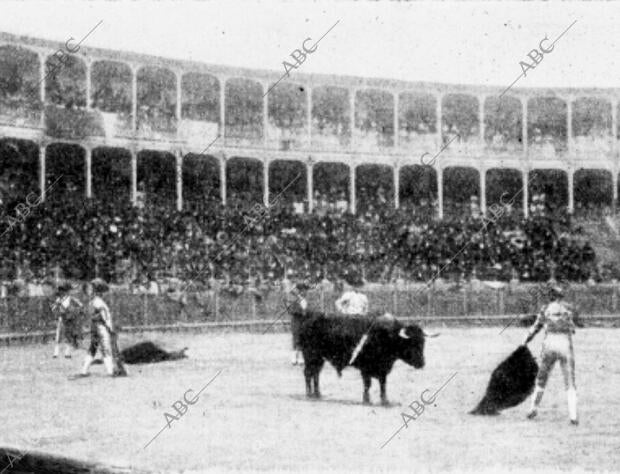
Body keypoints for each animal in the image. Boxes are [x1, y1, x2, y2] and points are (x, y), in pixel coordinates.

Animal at [294, 310, 434, 406]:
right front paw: (367, 400)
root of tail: (307, 321)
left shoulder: (383, 369)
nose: (422, 363)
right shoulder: (365, 368)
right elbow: (368, 384)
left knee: (315, 374)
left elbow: (383, 384)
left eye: (423, 343)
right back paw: (309, 394)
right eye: (412, 343)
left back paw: (317, 394)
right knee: (308, 373)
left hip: (319, 359)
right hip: (311, 355)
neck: (386, 337)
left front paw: (385, 401)